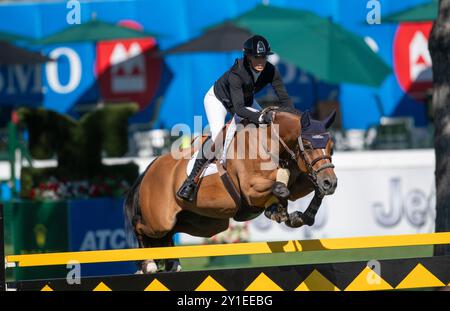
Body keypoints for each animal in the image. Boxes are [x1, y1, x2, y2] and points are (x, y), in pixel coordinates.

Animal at [124, 107, 338, 272]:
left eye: (331, 147)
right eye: (308, 145)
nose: (331, 182)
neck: (272, 143)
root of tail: (150, 168)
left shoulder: (298, 183)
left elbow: (306, 189)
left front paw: (300, 216)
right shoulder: (251, 189)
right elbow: (280, 188)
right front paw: (278, 212)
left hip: (203, 223)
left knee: (170, 233)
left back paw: (173, 263)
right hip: (159, 221)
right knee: (140, 225)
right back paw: (149, 264)